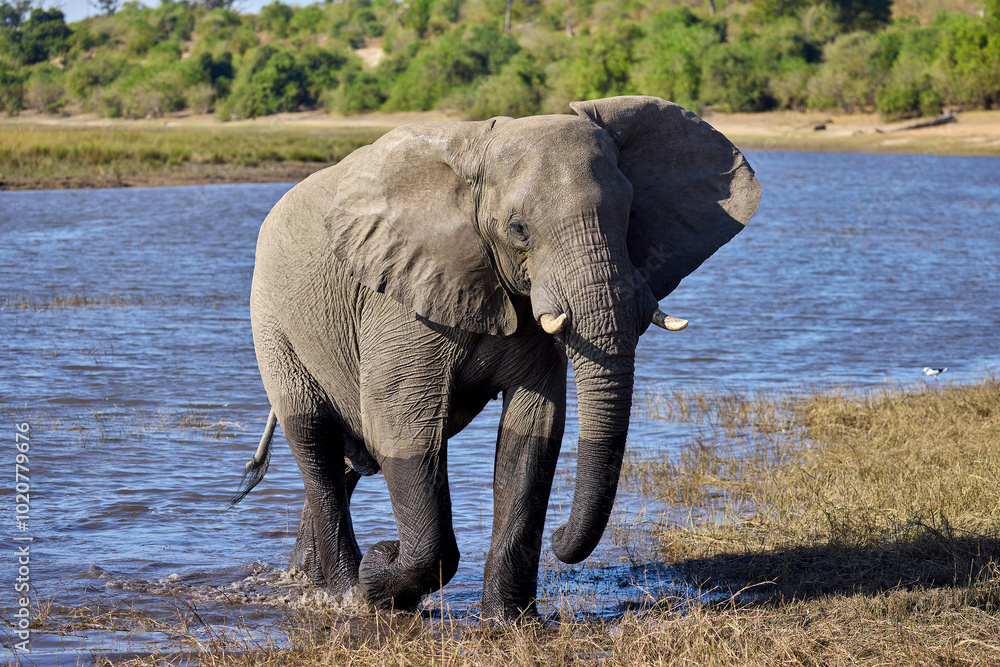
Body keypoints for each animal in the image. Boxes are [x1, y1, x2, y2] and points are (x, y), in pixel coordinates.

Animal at [232, 95, 760, 621]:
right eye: (518, 229)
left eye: (631, 215)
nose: (561, 537)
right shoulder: (402, 302)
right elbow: (401, 426)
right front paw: (380, 576)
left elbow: (533, 431)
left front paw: (510, 621)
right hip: (272, 322)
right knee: (316, 441)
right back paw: (344, 594)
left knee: (347, 458)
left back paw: (308, 582)